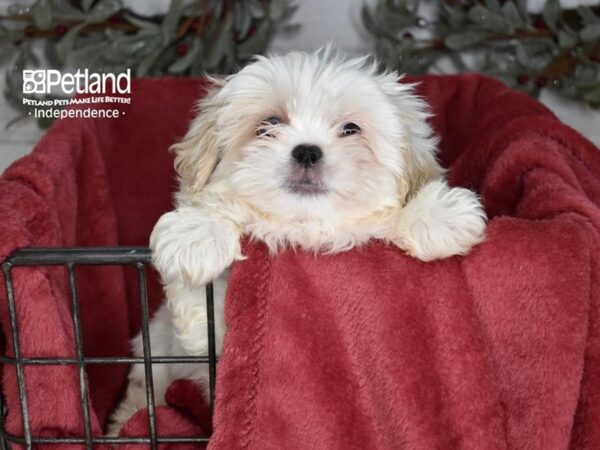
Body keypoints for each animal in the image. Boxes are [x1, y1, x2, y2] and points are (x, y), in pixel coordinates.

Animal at [108, 49, 486, 436]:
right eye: (269, 123)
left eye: (351, 129)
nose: (307, 151)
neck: (300, 228)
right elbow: (203, 318)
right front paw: (197, 234)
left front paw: (437, 216)